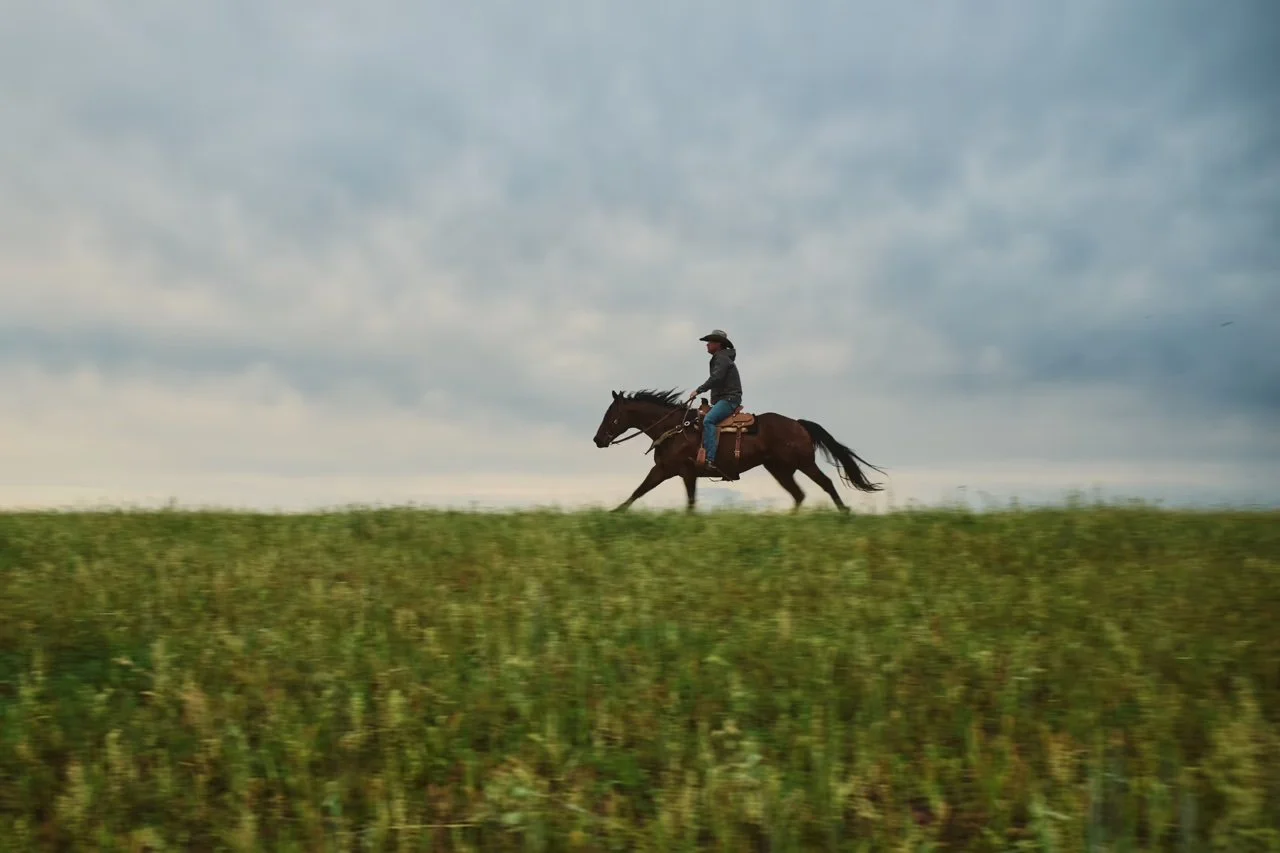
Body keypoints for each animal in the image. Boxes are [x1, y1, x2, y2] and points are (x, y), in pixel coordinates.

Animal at [592, 389, 885, 513]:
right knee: (798, 494)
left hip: (803, 463)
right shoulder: (676, 472)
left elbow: (646, 493)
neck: (675, 429)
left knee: (825, 483)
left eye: (612, 416)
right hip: (780, 470)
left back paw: (844, 512)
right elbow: (646, 493)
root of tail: (799, 423)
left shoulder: (674, 471)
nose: (597, 440)